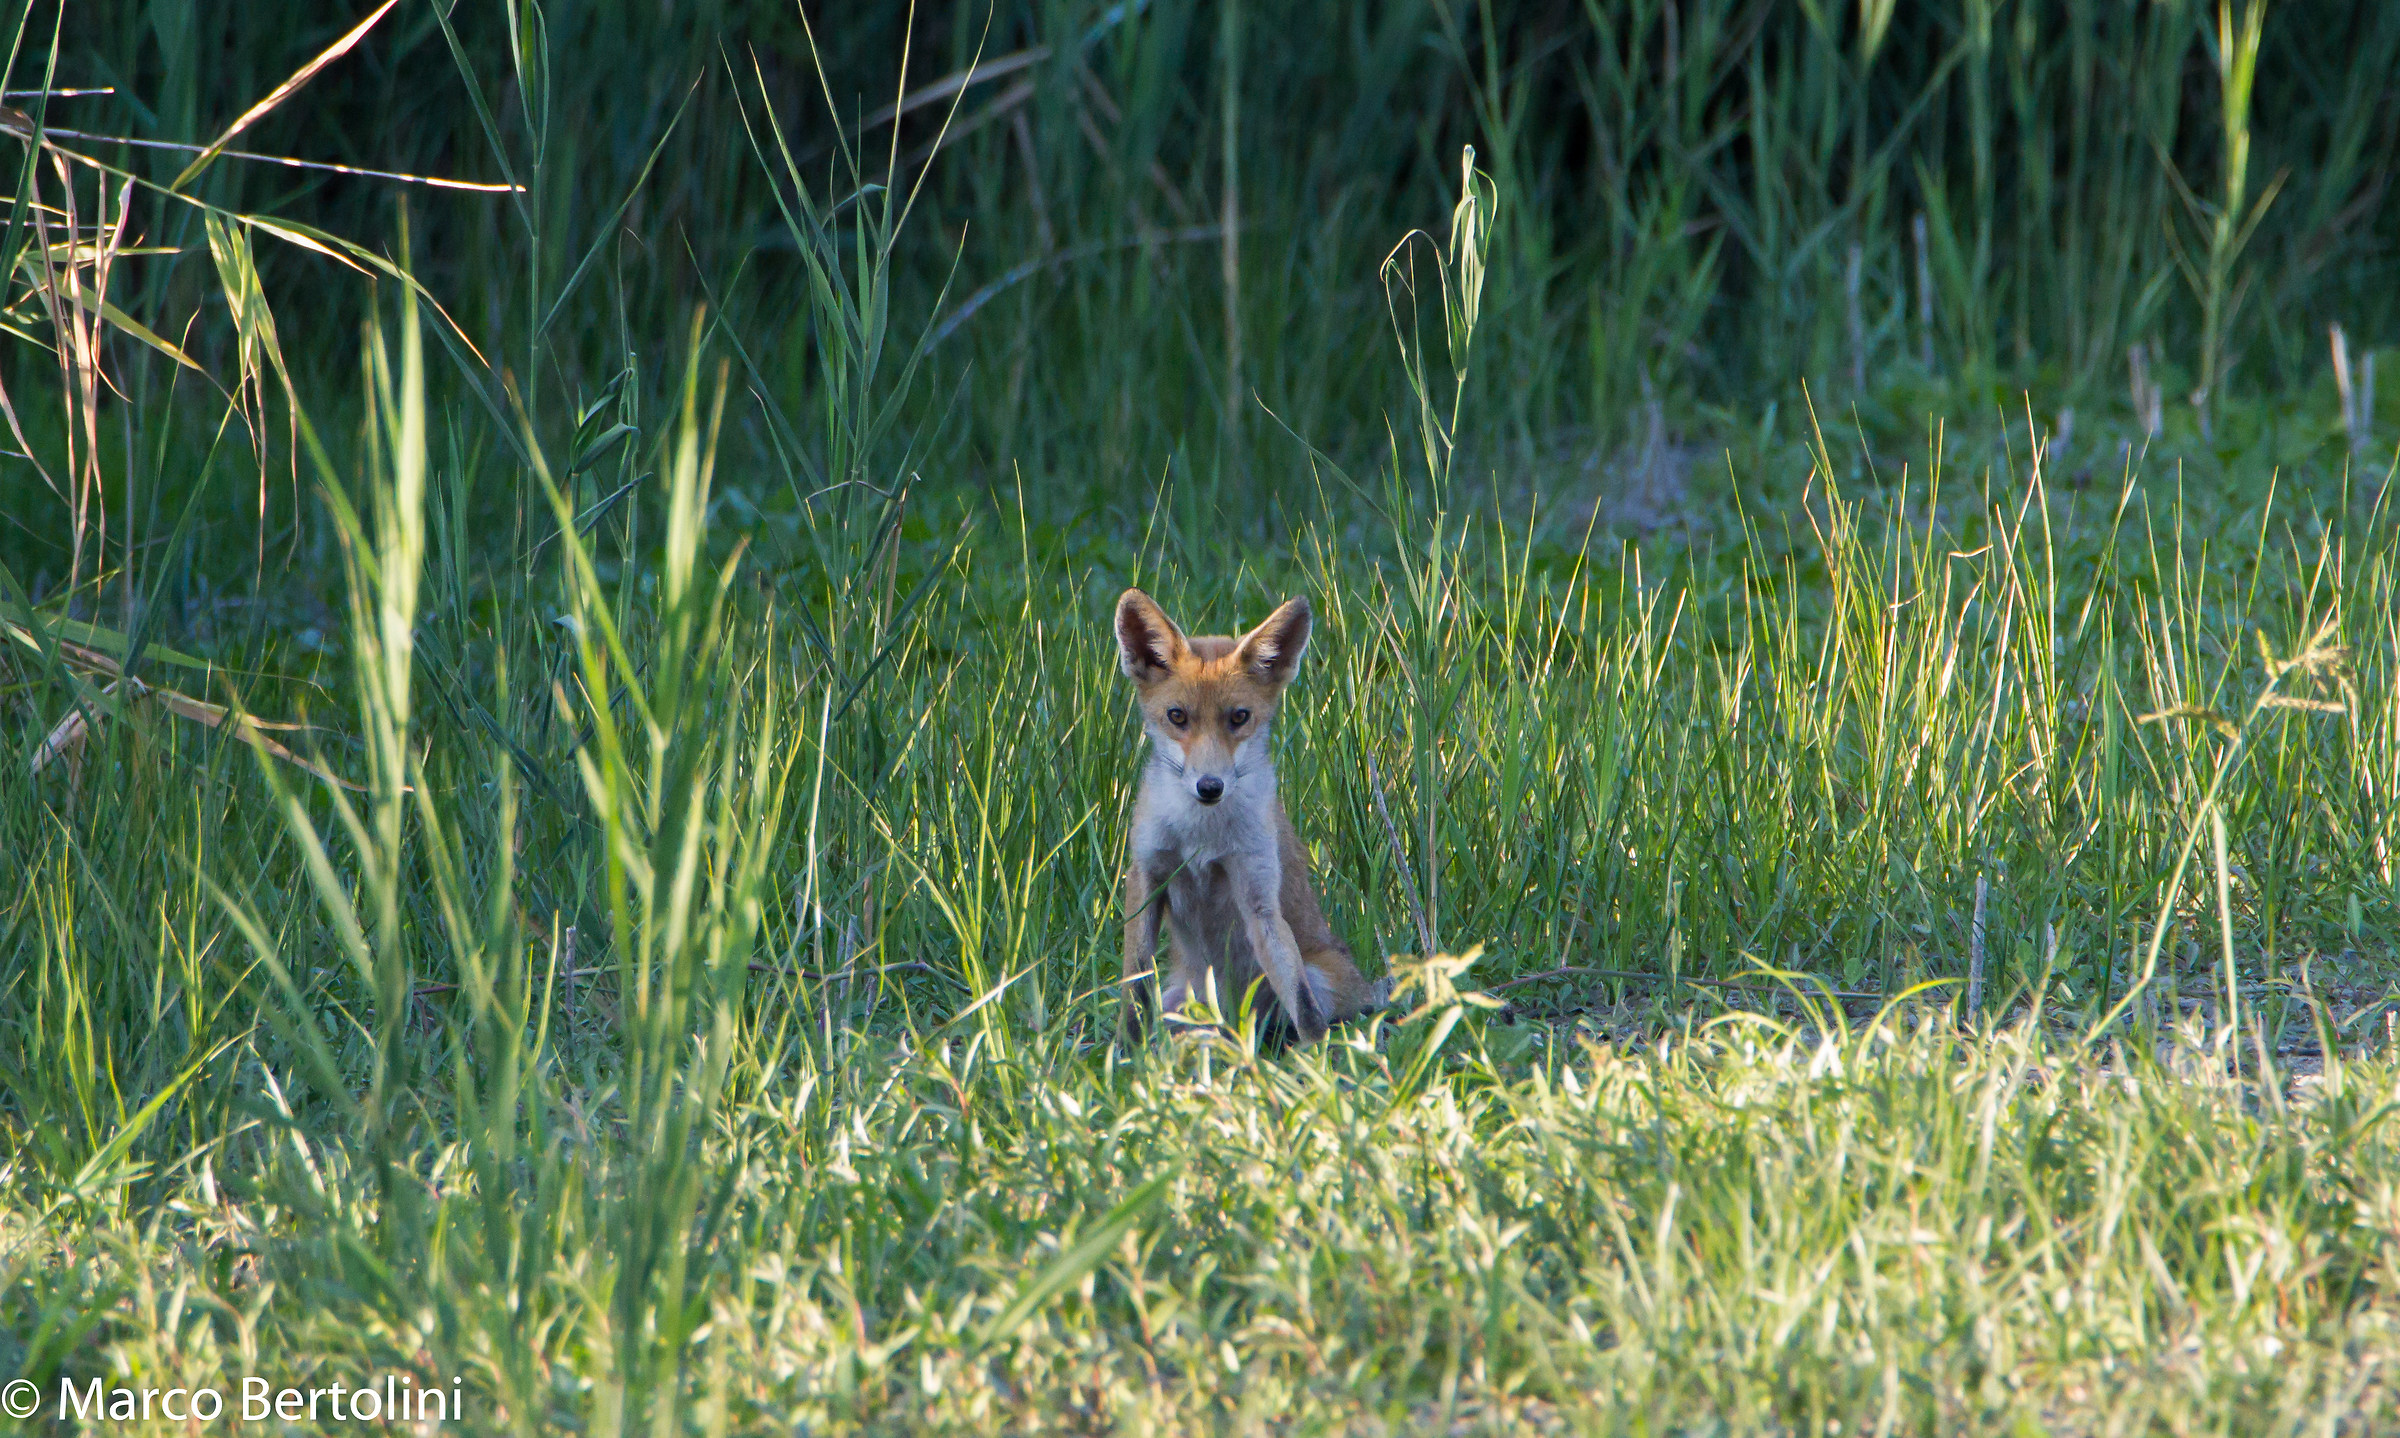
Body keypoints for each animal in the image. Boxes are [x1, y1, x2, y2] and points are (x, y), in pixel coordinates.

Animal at [1113, 587, 1389, 1047]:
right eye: (1177, 716)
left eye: (1239, 717)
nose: (1209, 787)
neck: (1201, 837)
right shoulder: (1147, 877)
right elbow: (1135, 989)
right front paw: (1127, 1054)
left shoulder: (1258, 894)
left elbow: (1303, 1004)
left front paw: (1318, 1061)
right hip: (1180, 1000)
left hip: (1319, 976)